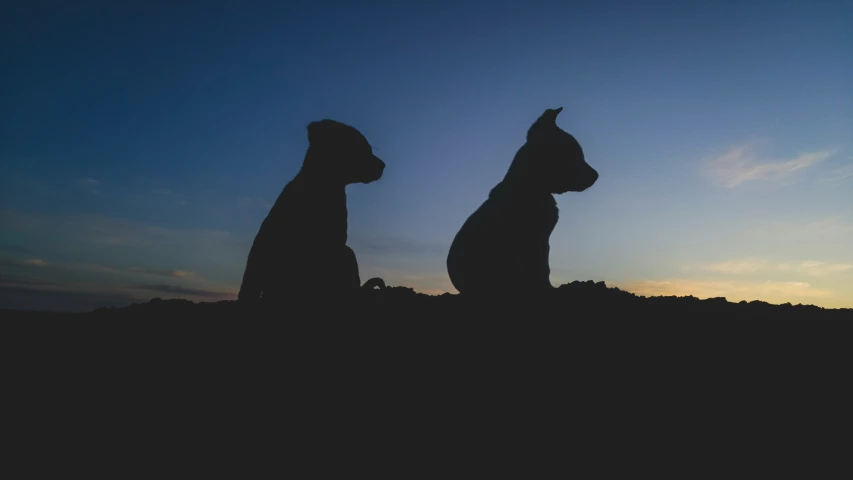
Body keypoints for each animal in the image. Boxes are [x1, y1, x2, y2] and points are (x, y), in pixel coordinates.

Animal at [446, 107, 600, 298]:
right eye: (572, 154)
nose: (596, 175)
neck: (531, 188)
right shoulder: (520, 243)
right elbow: (533, 270)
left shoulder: (541, 241)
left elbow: (543, 269)